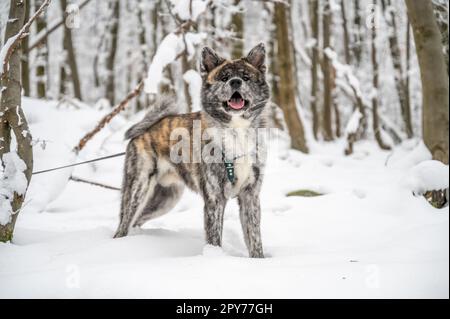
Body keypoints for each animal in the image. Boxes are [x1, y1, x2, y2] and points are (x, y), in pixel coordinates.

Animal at [115, 43, 270, 258]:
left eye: (246, 77)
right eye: (224, 78)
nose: (236, 82)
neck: (236, 131)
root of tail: (145, 129)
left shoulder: (250, 196)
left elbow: (255, 239)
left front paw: (259, 262)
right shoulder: (214, 198)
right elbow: (214, 238)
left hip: (165, 199)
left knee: (137, 221)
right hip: (138, 189)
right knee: (123, 225)